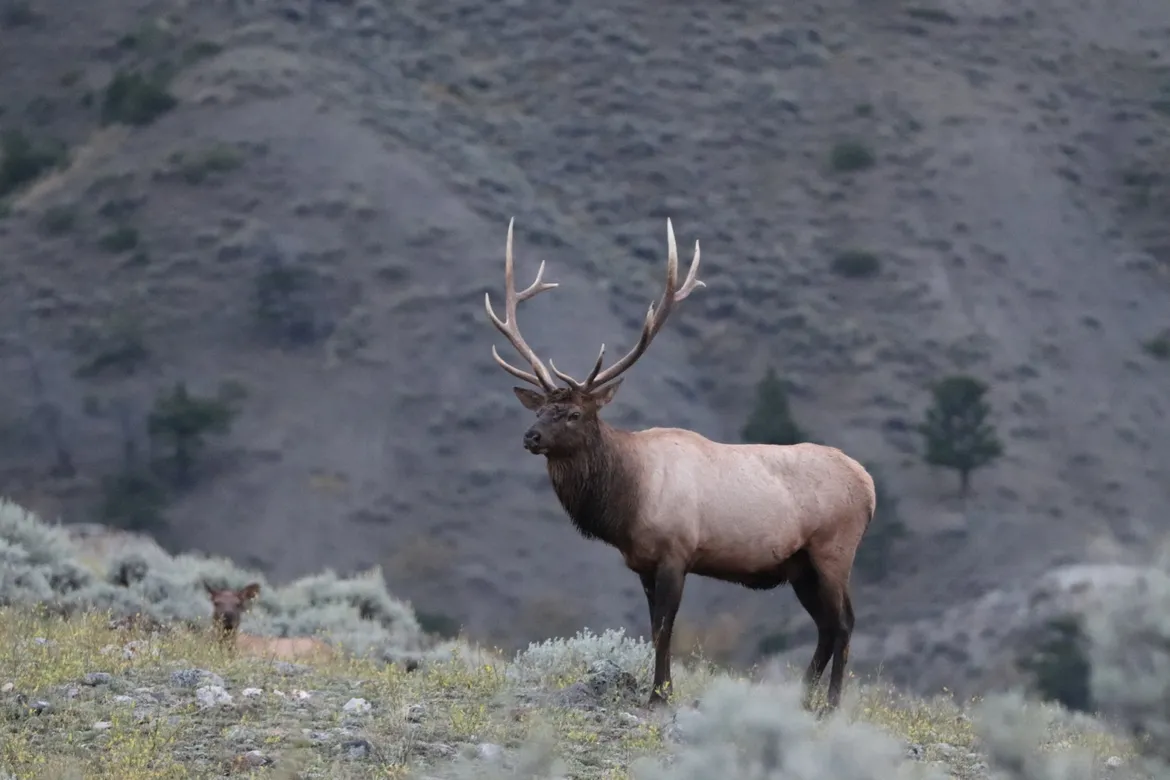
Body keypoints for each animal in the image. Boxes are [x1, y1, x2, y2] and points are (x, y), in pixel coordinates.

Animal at [484, 218, 876, 712]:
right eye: (538, 410)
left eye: (573, 414)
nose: (530, 437)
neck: (625, 502)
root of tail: (870, 486)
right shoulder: (642, 563)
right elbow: (654, 629)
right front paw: (658, 691)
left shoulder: (676, 551)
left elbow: (665, 629)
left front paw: (659, 695)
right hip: (800, 564)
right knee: (826, 625)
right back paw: (803, 700)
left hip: (834, 549)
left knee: (843, 622)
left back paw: (831, 705)